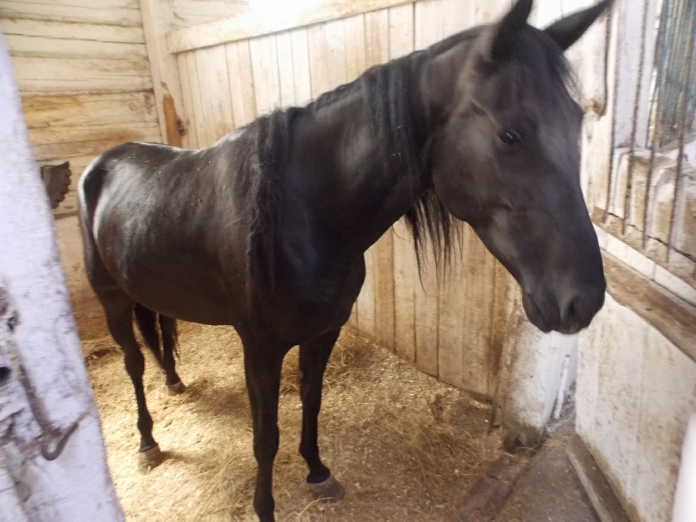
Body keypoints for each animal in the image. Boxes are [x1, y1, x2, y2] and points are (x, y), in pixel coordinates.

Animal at [78, 1, 609, 520]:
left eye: (578, 125)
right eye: (509, 135)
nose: (583, 300)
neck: (302, 216)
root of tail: (102, 163)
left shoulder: (324, 332)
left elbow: (312, 403)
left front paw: (317, 472)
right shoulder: (260, 349)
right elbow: (265, 437)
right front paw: (265, 507)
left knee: (160, 332)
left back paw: (175, 382)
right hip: (112, 301)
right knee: (132, 364)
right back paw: (147, 442)